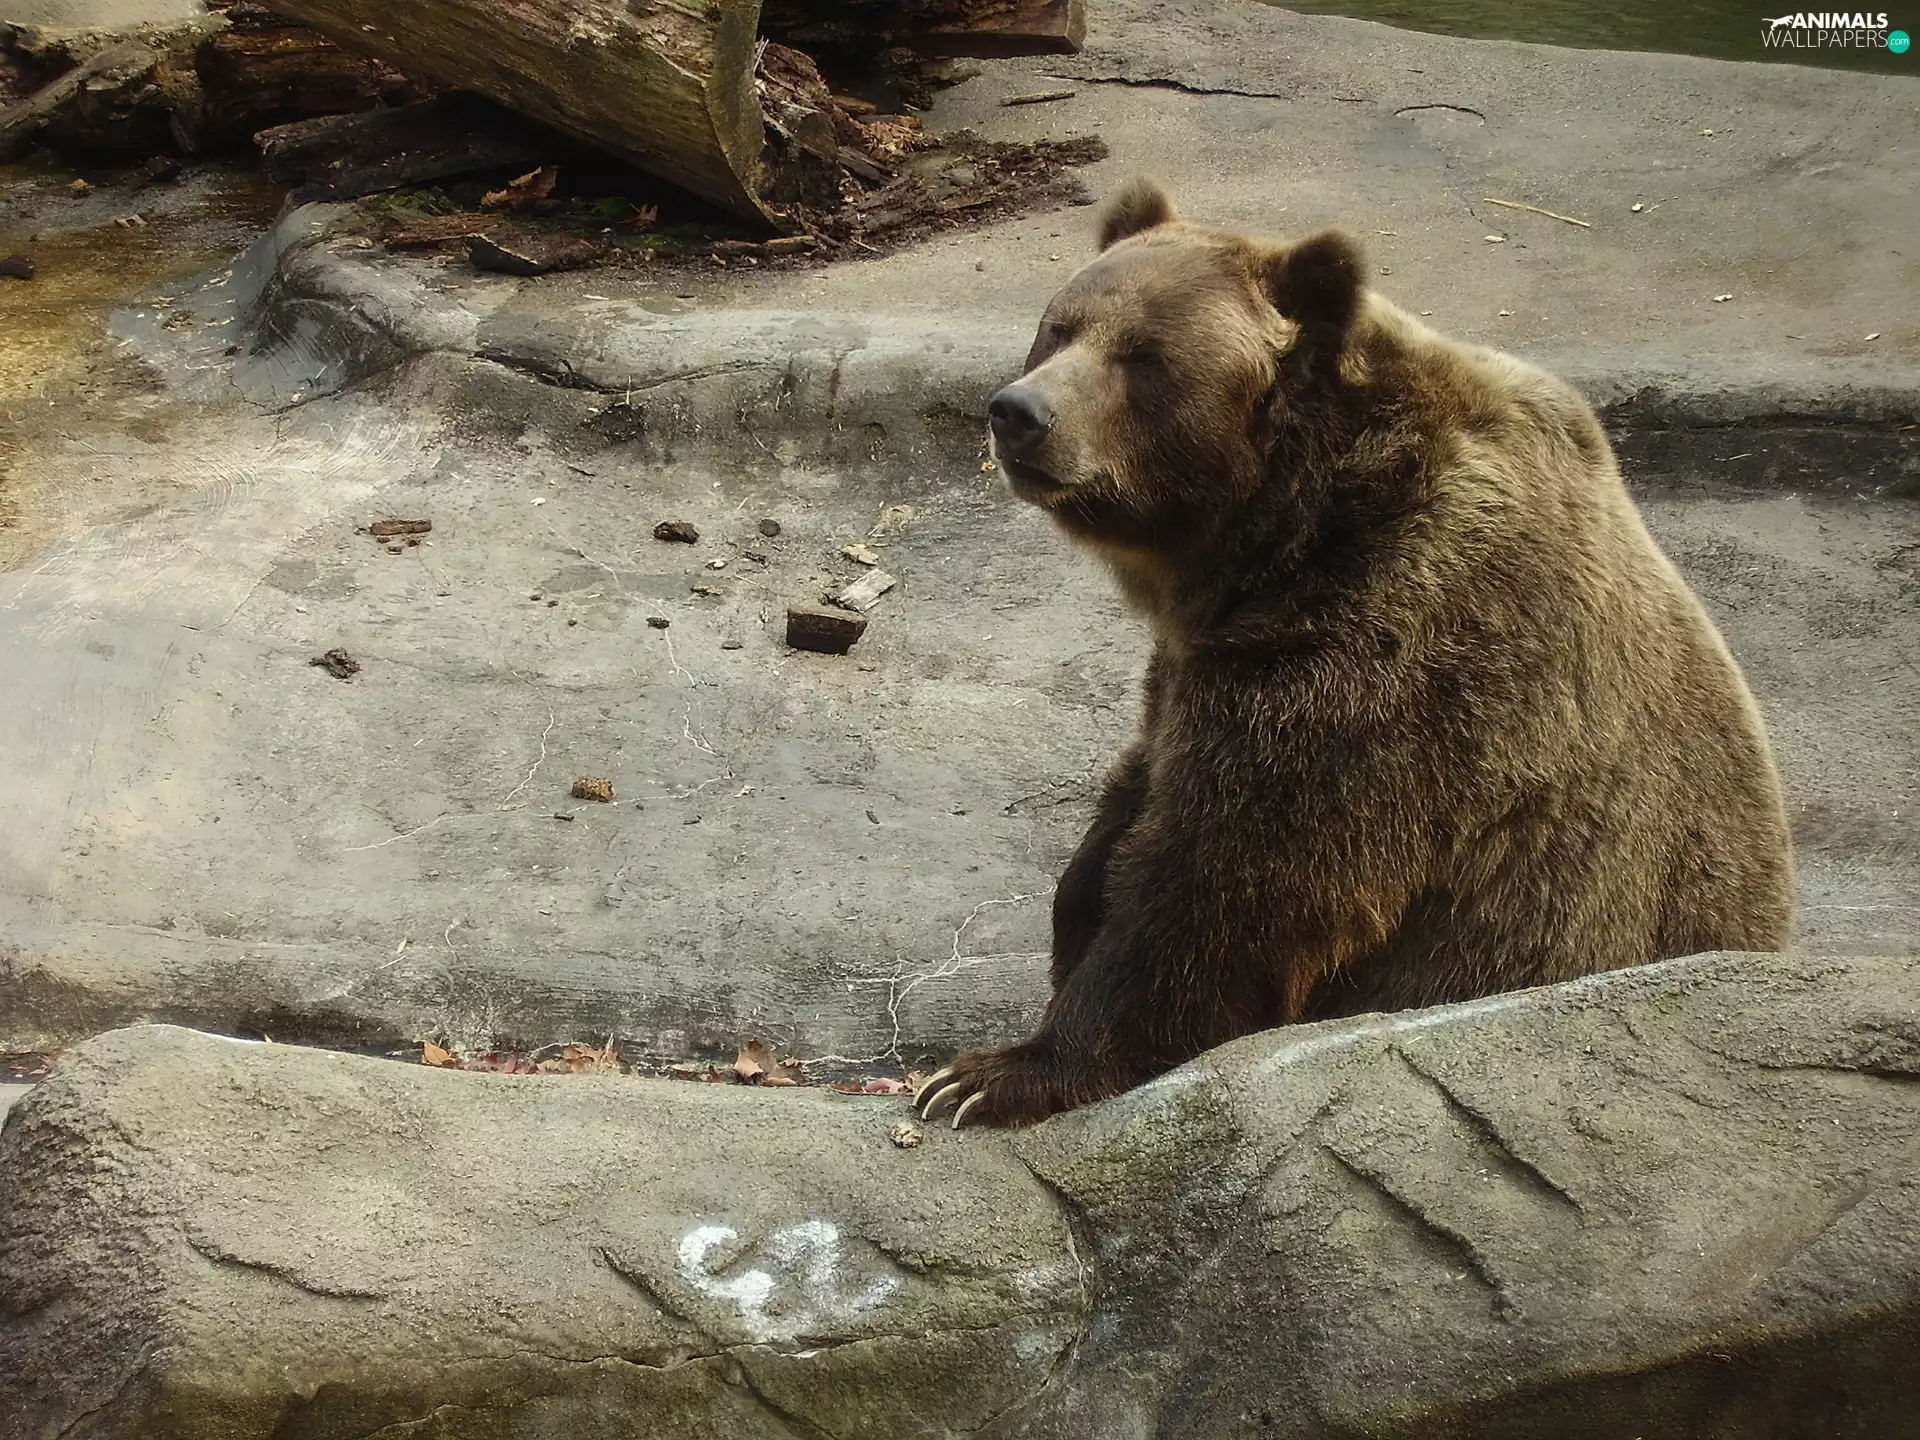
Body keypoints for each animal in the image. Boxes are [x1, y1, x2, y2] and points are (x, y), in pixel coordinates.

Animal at [916, 177, 1795, 1130]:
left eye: (1146, 356)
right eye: (1061, 325)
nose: (1020, 413)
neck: (1285, 530)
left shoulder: (1394, 648)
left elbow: (1232, 884)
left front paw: (987, 1076)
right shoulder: (1202, 653)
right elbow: (1141, 786)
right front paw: (1073, 912)